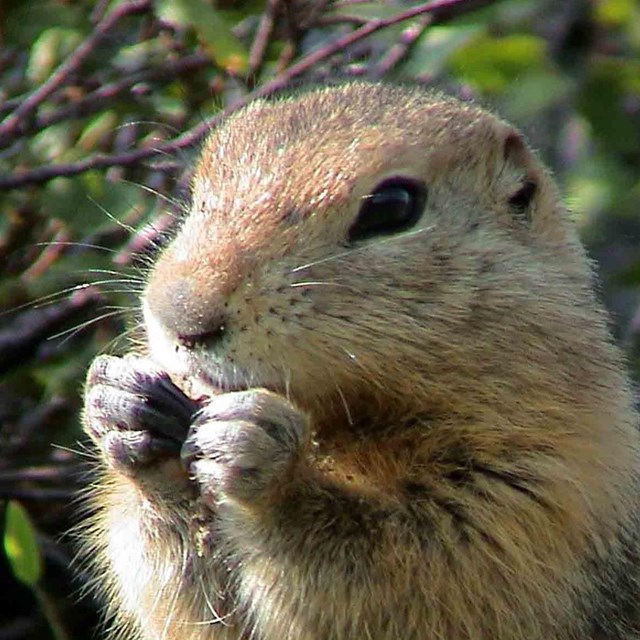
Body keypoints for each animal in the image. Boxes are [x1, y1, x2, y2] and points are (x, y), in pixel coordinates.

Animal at [80, 82, 640, 636]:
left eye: (394, 206)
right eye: (197, 194)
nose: (182, 318)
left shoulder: (540, 494)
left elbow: (416, 576)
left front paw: (263, 458)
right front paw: (122, 405)